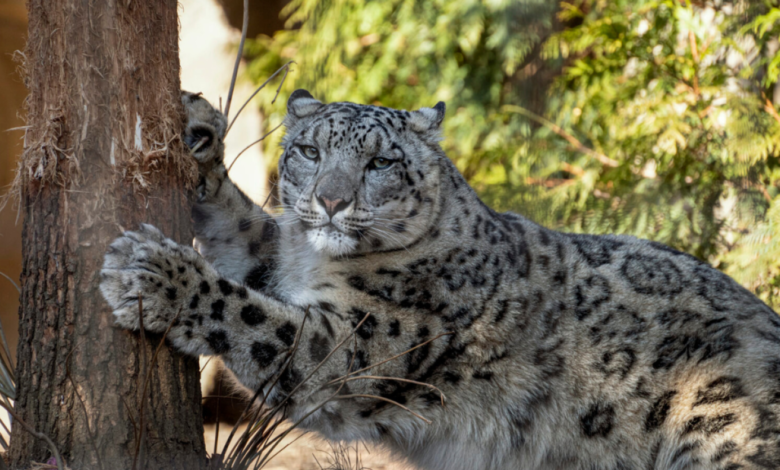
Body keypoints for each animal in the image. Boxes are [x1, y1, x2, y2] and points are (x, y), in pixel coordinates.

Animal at [100, 89, 780, 470]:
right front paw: (199, 134)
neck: (321, 261)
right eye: (310, 152)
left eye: (380, 162)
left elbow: (253, 317)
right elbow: (244, 227)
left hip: (721, 433)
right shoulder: (280, 258)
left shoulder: (355, 344)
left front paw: (152, 275)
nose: (331, 202)